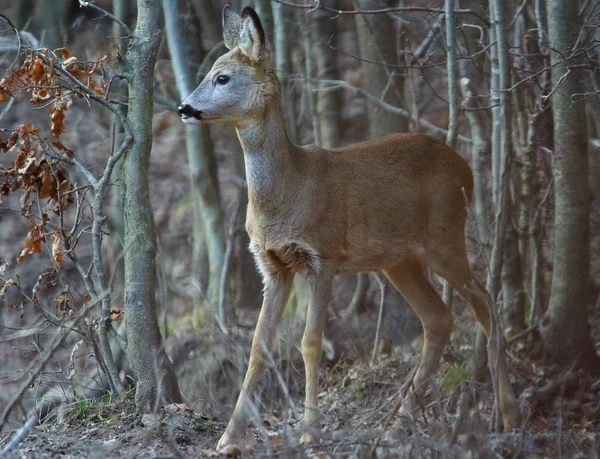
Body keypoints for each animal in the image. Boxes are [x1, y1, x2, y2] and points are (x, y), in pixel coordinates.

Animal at [178, 5, 520, 448]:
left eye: (222, 77)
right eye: (209, 72)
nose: (184, 108)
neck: (289, 190)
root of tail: (465, 167)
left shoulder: (321, 254)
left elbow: (310, 342)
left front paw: (309, 432)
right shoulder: (273, 265)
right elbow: (258, 345)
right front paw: (228, 438)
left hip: (445, 235)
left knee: (485, 302)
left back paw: (509, 414)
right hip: (399, 260)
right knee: (439, 319)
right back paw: (397, 424)